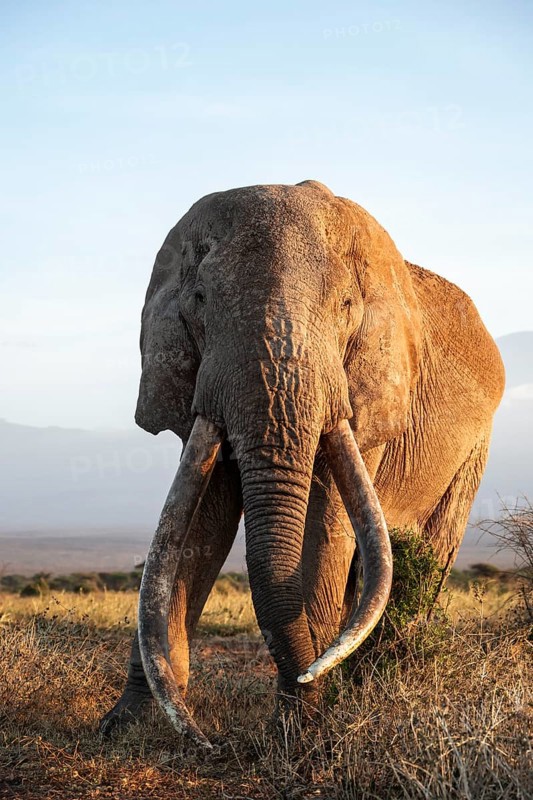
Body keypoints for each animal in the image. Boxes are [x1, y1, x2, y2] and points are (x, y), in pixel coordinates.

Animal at [99, 180, 505, 746]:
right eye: (199, 301)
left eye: (346, 305)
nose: (211, 743)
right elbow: (199, 526)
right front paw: (125, 728)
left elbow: (327, 524)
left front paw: (300, 731)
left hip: (474, 448)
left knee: (432, 551)